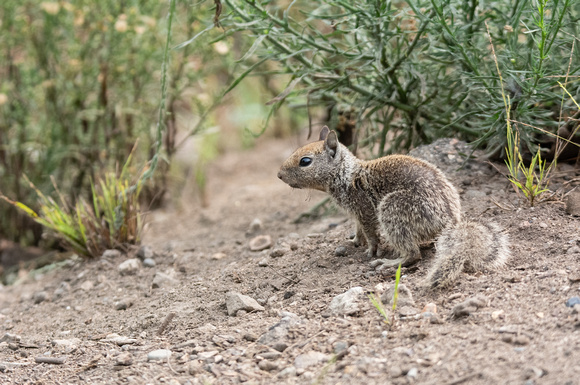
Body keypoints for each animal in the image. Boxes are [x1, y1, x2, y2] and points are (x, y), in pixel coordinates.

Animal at [278, 127, 510, 288]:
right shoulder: (356, 214)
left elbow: (371, 233)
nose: (279, 175)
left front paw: (371, 250)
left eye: (305, 161)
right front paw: (355, 241)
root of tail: (450, 222)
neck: (346, 175)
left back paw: (388, 263)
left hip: (392, 209)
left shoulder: (364, 210)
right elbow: (359, 229)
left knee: (413, 254)